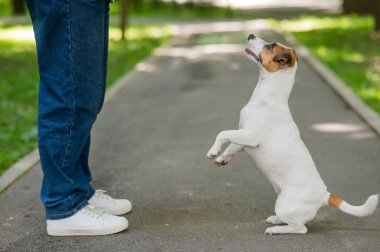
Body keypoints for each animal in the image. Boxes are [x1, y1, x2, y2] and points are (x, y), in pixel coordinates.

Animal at [206, 33, 378, 234]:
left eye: (271, 46)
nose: (250, 35)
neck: (268, 97)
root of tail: (324, 195)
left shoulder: (250, 135)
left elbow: (223, 133)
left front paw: (213, 151)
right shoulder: (245, 138)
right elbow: (232, 146)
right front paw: (222, 158)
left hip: (285, 204)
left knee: (300, 228)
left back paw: (276, 229)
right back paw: (275, 220)